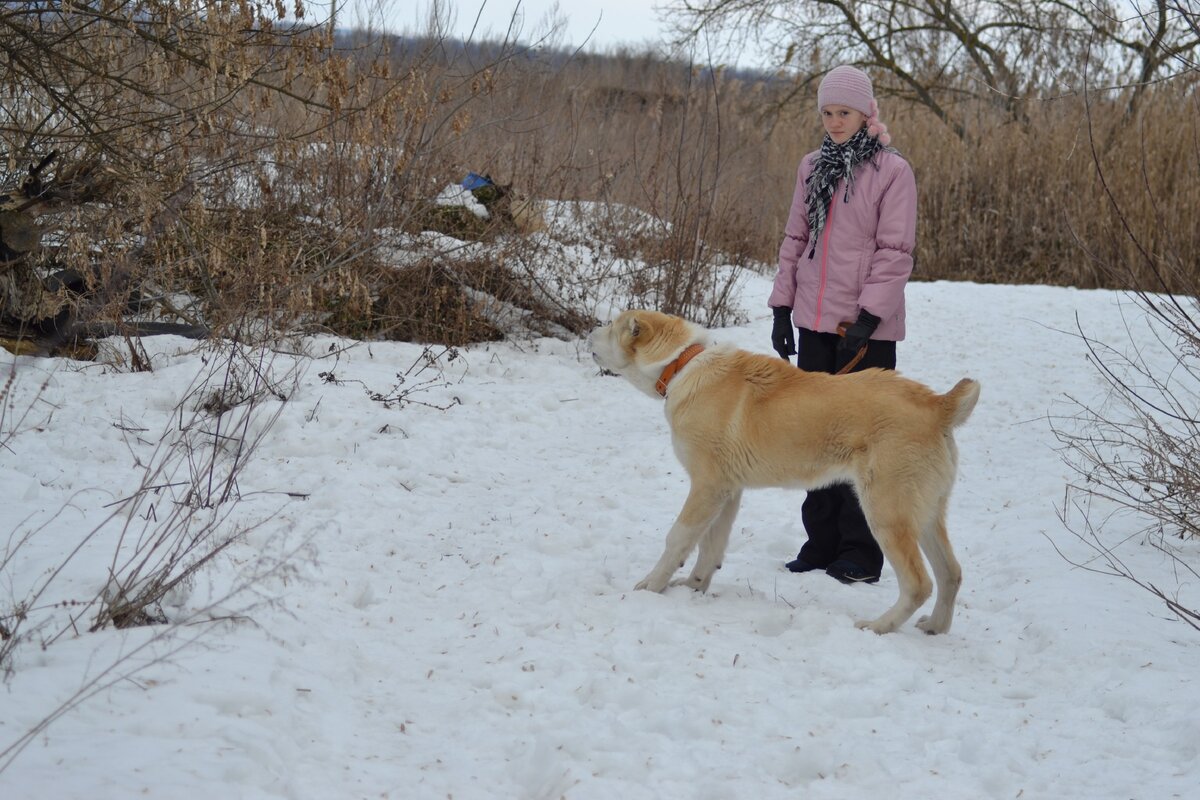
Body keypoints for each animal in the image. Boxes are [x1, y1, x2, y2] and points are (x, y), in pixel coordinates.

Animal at [585, 309, 979, 633]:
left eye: (613, 325)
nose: (590, 330)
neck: (683, 363)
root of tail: (938, 405)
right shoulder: (727, 491)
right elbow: (711, 547)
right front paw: (694, 588)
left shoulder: (707, 487)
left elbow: (678, 538)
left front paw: (651, 587)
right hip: (926, 515)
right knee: (951, 573)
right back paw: (935, 628)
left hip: (886, 512)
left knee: (919, 583)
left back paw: (878, 626)